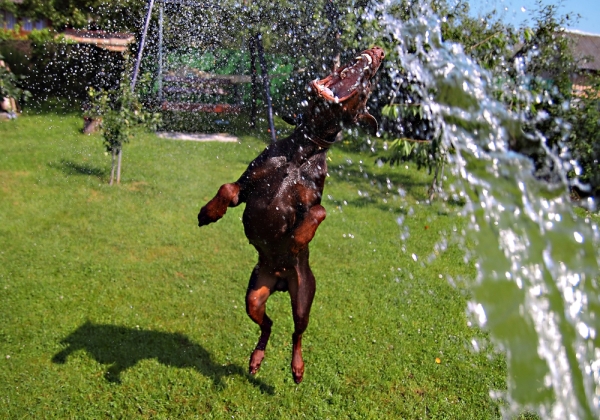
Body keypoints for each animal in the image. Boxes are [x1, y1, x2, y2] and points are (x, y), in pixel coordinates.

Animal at [197, 46, 384, 384]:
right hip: (255, 294)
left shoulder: (309, 200)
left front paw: (297, 238)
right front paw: (209, 212)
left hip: (303, 297)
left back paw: (297, 368)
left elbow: (319, 211)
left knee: (297, 333)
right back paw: (256, 358)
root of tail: (282, 282)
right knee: (267, 323)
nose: (378, 51)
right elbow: (228, 188)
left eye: (366, 90)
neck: (301, 153)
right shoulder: (250, 184)